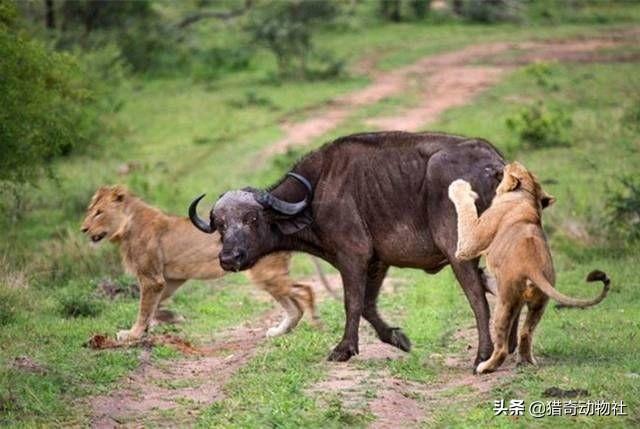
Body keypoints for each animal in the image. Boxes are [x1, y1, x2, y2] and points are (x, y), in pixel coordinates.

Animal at [81, 184, 318, 342]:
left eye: (99, 213)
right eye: (90, 211)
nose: (83, 229)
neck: (126, 227)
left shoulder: (152, 279)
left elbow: (144, 308)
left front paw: (133, 334)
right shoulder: (170, 280)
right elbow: (154, 306)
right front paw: (167, 319)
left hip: (265, 274)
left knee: (305, 291)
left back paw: (316, 324)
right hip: (268, 277)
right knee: (294, 306)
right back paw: (280, 331)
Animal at [189, 131, 504, 368]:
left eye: (252, 219)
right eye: (220, 225)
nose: (229, 258)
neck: (316, 193)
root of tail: (494, 165)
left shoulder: (353, 256)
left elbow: (351, 303)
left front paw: (343, 349)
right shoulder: (377, 262)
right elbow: (367, 305)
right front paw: (398, 338)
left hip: (459, 253)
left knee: (478, 298)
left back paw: (483, 356)